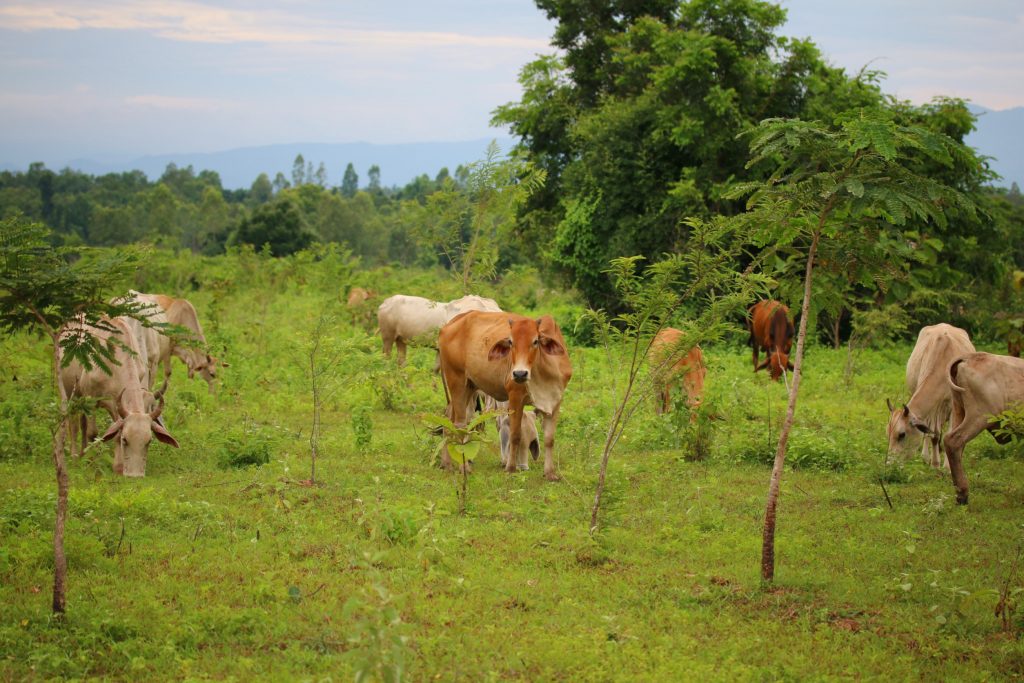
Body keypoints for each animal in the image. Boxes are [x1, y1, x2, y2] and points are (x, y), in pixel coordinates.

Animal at [59, 317, 178, 479]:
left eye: (148, 441)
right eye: (125, 440)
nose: (135, 476)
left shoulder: (116, 404)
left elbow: (114, 430)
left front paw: (118, 467)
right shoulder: (91, 398)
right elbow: (93, 433)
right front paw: (91, 462)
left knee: (82, 423)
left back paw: (83, 452)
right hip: (70, 393)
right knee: (74, 423)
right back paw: (75, 455)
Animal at [436, 311, 573, 481]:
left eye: (535, 341)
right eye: (510, 342)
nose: (519, 373)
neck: (544, 372)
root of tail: (449, 325)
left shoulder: (554, 401)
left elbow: (549, 439)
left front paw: (550, 473)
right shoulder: (515, 397)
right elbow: (515, 435)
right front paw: (511, 468)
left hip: (469, 386)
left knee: (449, 420)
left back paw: (447, 464)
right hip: (457, 382)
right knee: (460, 425)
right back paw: (464, 467)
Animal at [888, 325, 974, 471]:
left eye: (902, 434)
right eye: (887, 433)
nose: (889, 464)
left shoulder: (953, 407)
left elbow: (949, 435)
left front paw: (947, 467)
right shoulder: (932, 411)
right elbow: (933, 435)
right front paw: (934, 464)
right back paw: (925, 456)